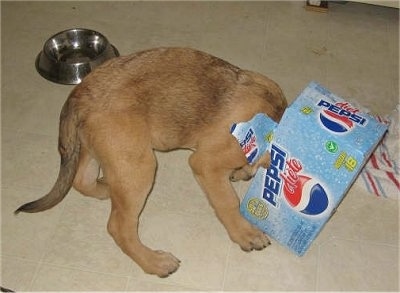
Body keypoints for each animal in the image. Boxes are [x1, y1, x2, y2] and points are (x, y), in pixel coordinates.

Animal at [14, 47, 284, 276]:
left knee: (82, 179)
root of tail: (79, 92)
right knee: (118, 226)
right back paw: (155, 262)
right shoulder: (206, 163)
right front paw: (245, 233)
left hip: (105, 149)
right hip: (140, 166)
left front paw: (243, 171)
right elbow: (228, 202)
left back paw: (106, 189)